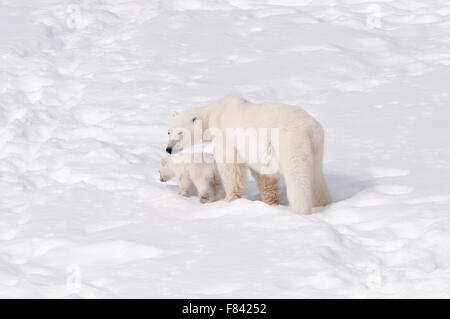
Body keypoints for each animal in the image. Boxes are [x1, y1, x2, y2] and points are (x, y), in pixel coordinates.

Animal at [165, 95, 330, 215]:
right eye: (168, 131)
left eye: (180, 133)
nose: (168, 149)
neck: (215, 112)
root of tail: (309, 129)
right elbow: (263, 175)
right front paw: (271, 201)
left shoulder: (225, 136)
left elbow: (231, 168)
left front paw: (229, 199)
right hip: (317, 147)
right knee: (316, 177)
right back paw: (322, 203)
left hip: (290, 143)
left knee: (298, 177)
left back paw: (300, 210)